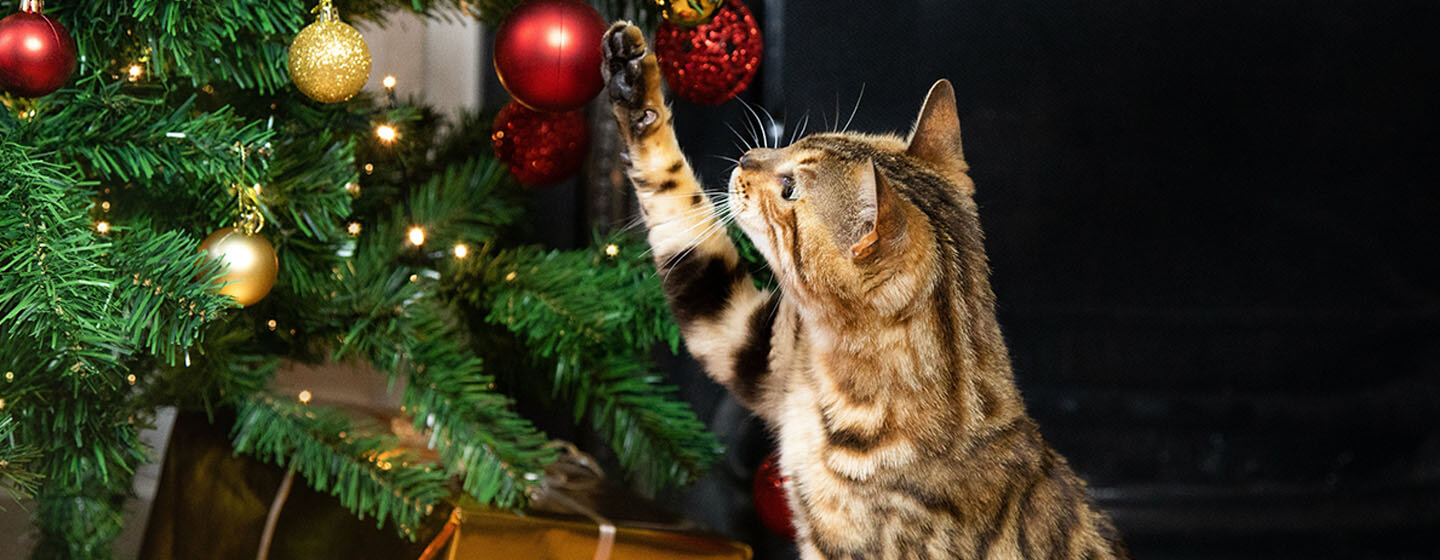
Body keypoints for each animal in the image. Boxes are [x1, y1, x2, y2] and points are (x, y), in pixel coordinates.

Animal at [601, 21, 1128, 558]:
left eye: (789, 188)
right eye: (798, 140)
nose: (747, 156)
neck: (822, 384)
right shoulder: (749, 343)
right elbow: (680, 212)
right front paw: (634, 87)